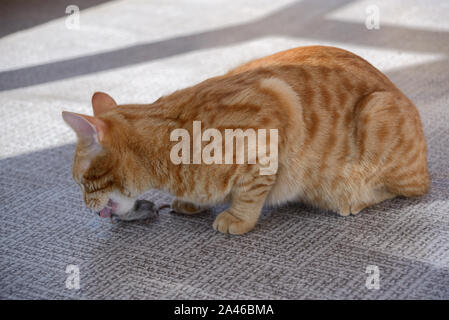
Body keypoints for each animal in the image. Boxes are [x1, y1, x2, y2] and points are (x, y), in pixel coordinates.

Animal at [62, 45, 428, 235]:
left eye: (82, 183)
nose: (85, 206)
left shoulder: (275, 111)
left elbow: (251, 191)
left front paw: (238, 218)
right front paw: (193, 202)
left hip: (375, 112)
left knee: (408, 189)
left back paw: (353, 199)